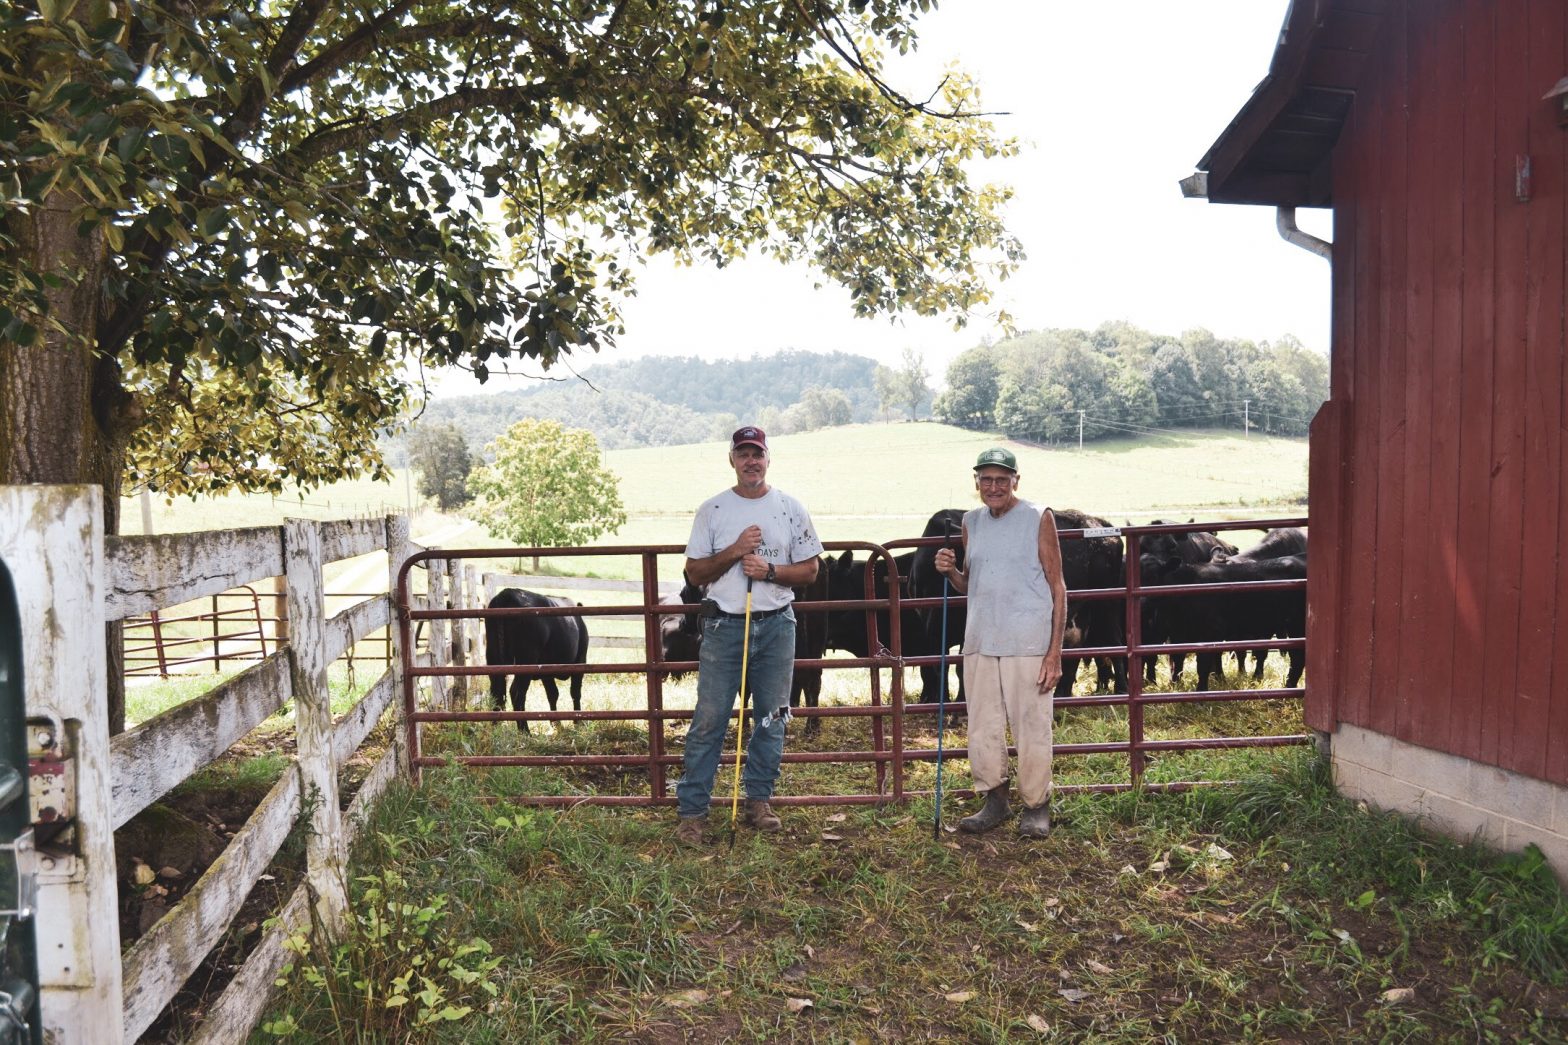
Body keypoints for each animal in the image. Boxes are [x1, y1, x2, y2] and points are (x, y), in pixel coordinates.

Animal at [482, 586, 589, 731]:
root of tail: (507, 593)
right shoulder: (580, 660)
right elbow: (575, 692)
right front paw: (578, 722)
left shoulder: (546, 670)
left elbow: (553, 694)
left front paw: (556, 723)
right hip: (526, 659)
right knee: (516, 692)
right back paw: (525, 730)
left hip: (493, 657)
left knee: (496, 691)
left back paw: (495, 727)